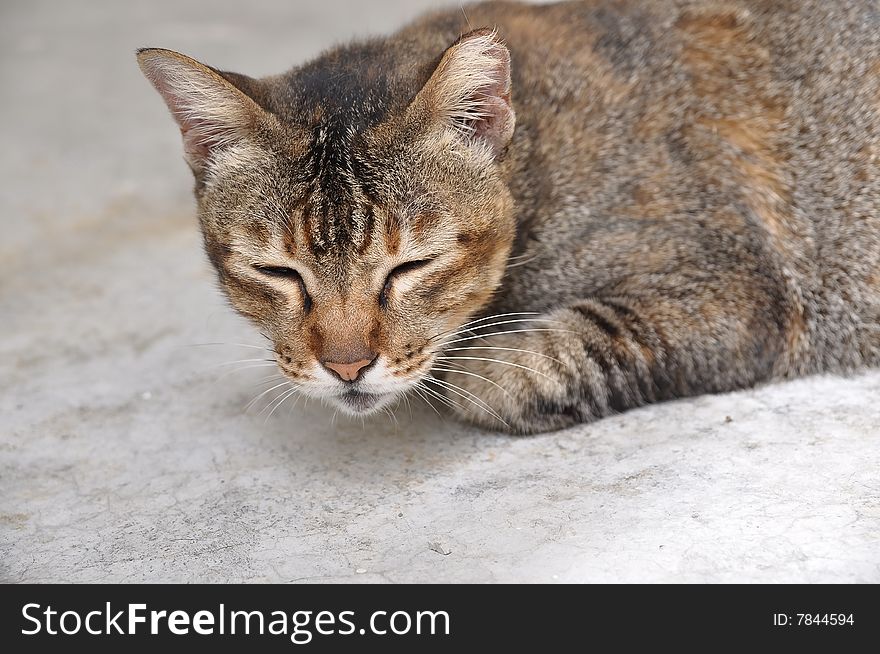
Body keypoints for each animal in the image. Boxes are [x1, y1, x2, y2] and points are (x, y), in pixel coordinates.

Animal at [136, 1, 880, 436]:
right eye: (277, 272)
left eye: (411, 266)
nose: (347, 367)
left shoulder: (735, 293)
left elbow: (529, 364)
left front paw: (471, 368)